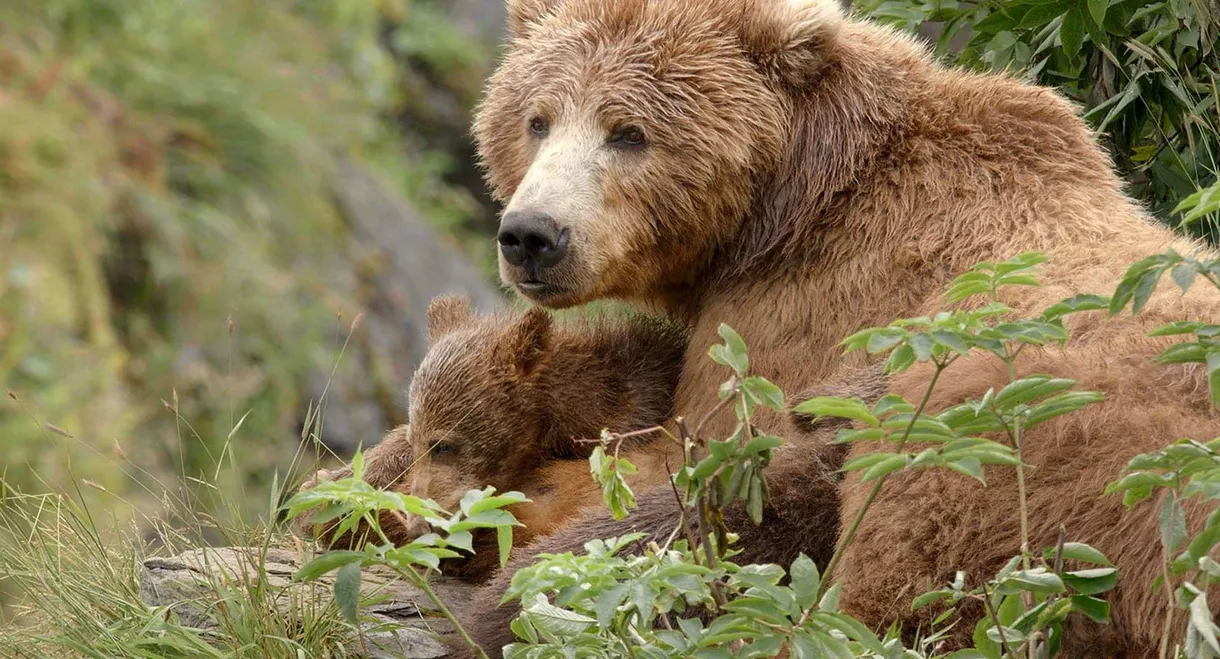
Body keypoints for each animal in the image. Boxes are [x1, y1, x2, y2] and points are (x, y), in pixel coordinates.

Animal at [453, 0, 1220, 655]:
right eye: (537, 119)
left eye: (629, 132)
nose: (532, 235)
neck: (787, 205)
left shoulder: (795, 316)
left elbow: (676, 458)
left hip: (1011, 430)